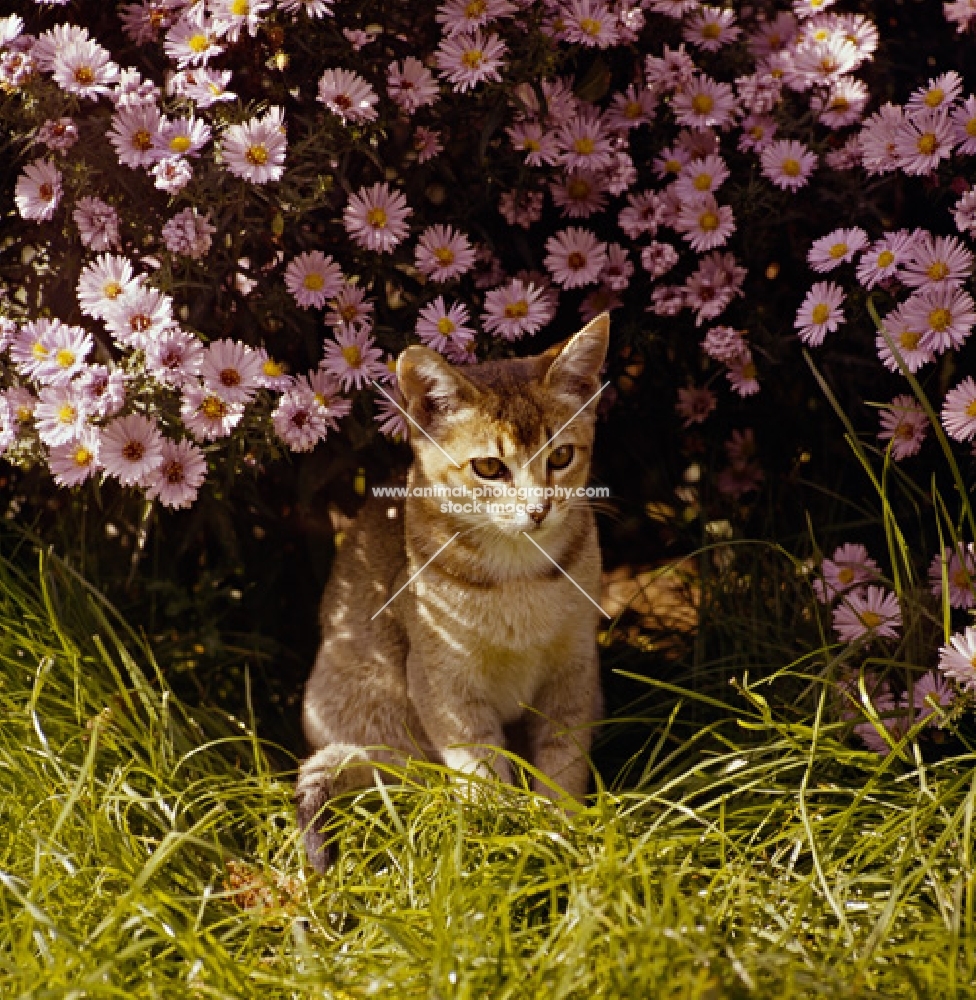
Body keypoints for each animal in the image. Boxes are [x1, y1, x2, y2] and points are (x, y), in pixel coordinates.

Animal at [294, 310, 608, 868]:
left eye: (562, 456)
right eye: (489, 467)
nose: (539, 509)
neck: (517, 580)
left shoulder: (574, 671)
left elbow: (563, 761)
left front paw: (560, 828)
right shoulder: (444, 683)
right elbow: (480, 766)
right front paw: (506, 834)